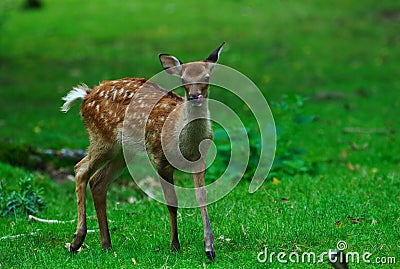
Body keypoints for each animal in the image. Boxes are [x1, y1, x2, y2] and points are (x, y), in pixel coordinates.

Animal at [61, 42, 225, 260]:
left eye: (206, 77)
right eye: (183, 80)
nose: (193, 96)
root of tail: (86, 95)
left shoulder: (200, 161)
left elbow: (202, 197)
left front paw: (210, 248)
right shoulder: (160, 157)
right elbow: (172, 202)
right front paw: (175, 246)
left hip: (123, 152)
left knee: (98, 181)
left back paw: (106, 245)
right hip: (102, 139)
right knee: (81, 169)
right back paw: (76, 241)